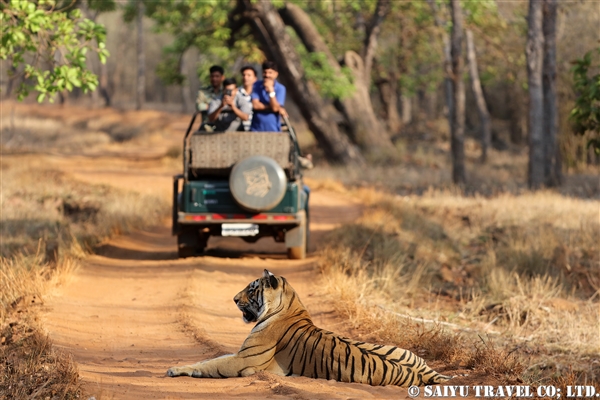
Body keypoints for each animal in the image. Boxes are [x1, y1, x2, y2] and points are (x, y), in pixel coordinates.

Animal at [166, 268, 452, 388]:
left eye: (251, 288)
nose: (234, 300)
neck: (289, 305)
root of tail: (426, 373)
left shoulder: (244, 360)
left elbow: (209, 364)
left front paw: (174, 369)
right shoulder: (240, 355)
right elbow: (210, 359)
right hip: (401, 350)